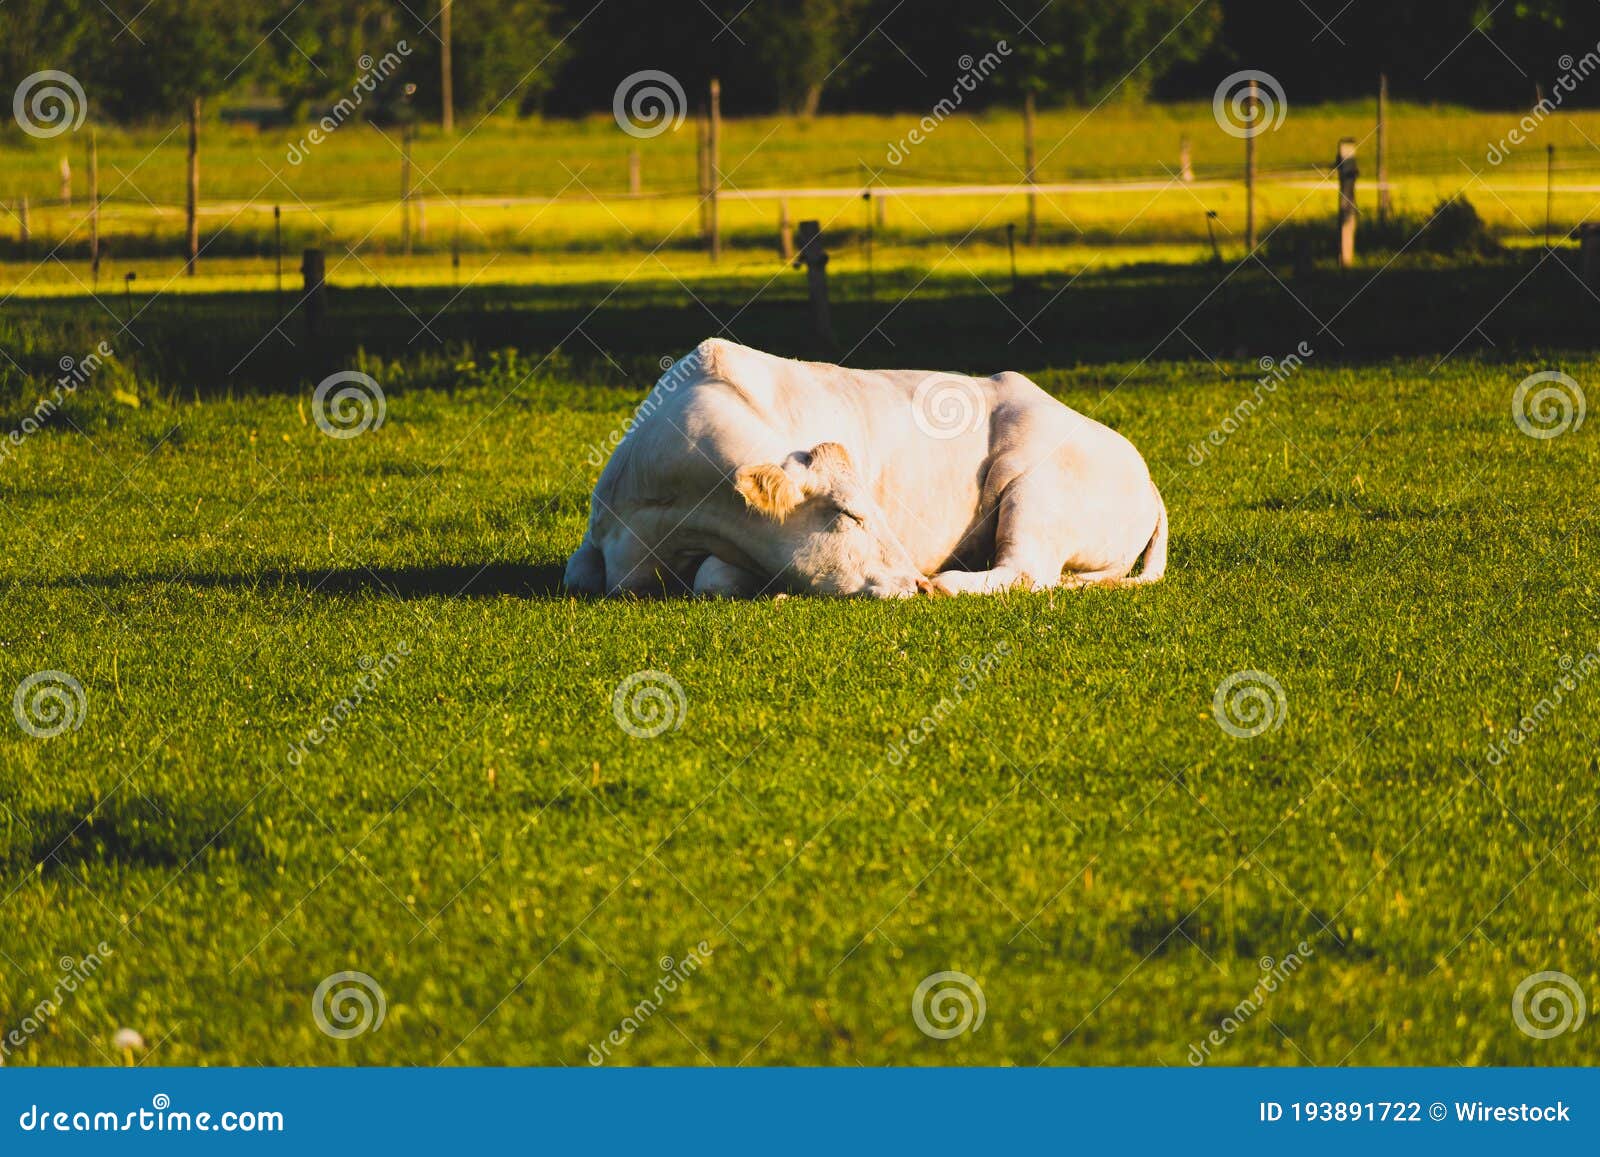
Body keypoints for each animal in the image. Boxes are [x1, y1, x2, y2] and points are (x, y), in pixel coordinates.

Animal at [563, 339, 1166, 599]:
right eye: (851, 514)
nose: (914, 582)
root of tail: (1146, 477)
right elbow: (576, 571)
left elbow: (714, 577)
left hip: (1034, 490)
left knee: (1026, 570)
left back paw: (951, 581)